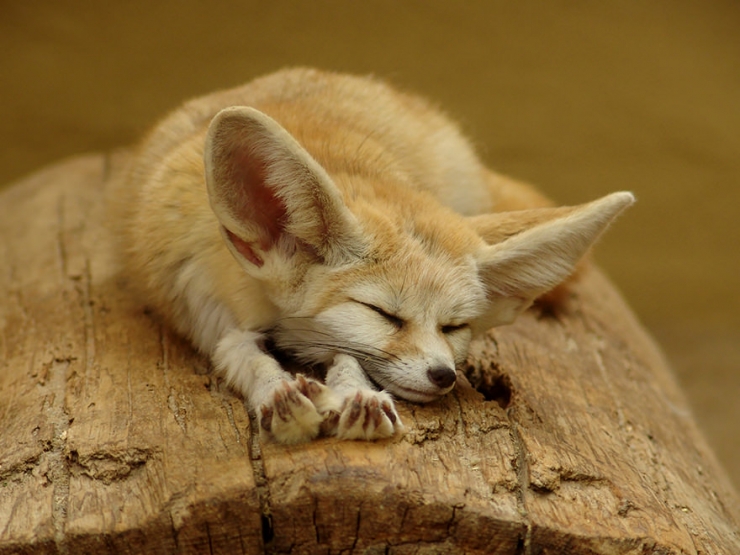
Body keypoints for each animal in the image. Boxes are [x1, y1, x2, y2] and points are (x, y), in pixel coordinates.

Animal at [117, 67, 634, 444]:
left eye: (455, 327)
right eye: (383, 314)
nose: (444, 374)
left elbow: (351, 356)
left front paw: (356, 397)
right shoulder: (203, 308)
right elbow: (239, 352)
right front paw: (281, 395)